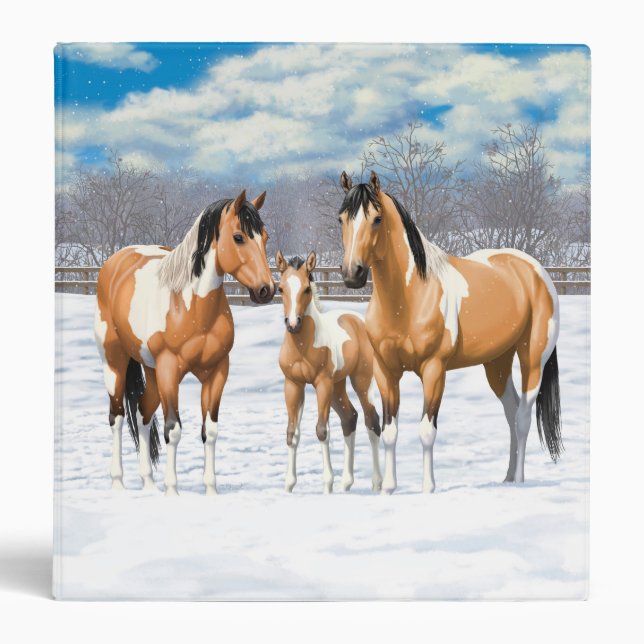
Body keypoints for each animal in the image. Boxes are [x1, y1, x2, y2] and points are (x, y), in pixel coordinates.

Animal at [94, 190, 275, 495]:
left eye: (265, 237)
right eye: (239, 237)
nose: (267, 290)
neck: (191, 307)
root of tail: (115, 261)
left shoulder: (216, 372)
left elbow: (210, 431)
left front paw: (211, 490)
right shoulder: (169, 370)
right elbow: (173, 429)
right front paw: (172, 491)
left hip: (151, 371)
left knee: (142, 414)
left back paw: (148, 483)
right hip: (115, 362)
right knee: (116, 417)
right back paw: (118, 482)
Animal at [275, 250, 382, 494]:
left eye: (306, 288)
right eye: (281, 288)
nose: (292, 324)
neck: (303, 346)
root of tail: (357, 320)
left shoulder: (321, 384)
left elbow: (322, 430)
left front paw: (327, 484)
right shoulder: (293, 385)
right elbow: (291, 433)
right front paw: (288, 485)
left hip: (360, 381)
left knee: (372, 420)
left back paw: (377, 483)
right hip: (337, 386)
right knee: (350, 417)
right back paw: (347, 483)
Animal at [336, 171, 562, 494]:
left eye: (377, 219)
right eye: (341, 219)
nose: (351, 274)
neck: (409, 298)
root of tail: (535, 269)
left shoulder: (434, 370)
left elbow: (426, 430)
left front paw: (428, 488)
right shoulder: (385, 371)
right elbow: (390, 430)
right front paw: (389, 488)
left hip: (532, 359)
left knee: (522, 417)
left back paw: (519, 480)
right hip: (497, 364)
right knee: (511, 412)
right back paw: (506, 477)